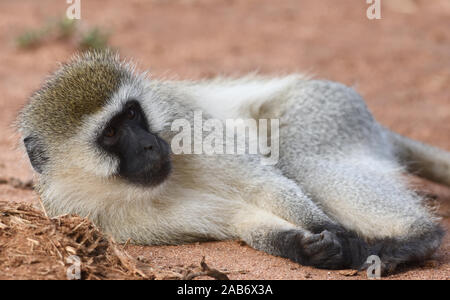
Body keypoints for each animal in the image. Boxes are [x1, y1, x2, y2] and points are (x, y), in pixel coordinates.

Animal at [16, 50, 446, 274]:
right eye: (110, 133)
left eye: (134, 114)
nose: (152, 146)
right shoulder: (102, 219)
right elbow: (239, 217)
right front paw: (305, 248)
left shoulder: (183, 119)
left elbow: (261, 183)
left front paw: (331, 231)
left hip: (323, 108)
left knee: (302, 161)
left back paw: (417, 237)